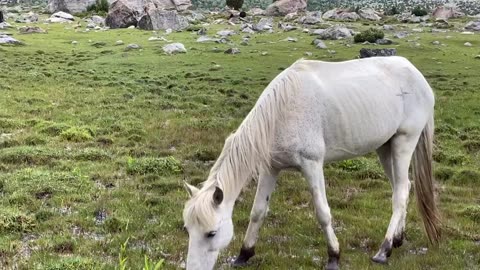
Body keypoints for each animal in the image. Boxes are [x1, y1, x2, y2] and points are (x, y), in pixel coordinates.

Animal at [182, 56, 440, 268]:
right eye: (188, 230)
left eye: (211, 233)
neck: (280, 112)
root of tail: (417, 75)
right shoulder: (270, 168)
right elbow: (258, 212)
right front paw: (244, 254)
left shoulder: (312, 165)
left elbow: (323, 212)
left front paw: (334, 256)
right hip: (385, 148)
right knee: (403, 186)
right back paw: (397, 239)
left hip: (404, 143)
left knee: (400, 193)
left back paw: (384, 250)